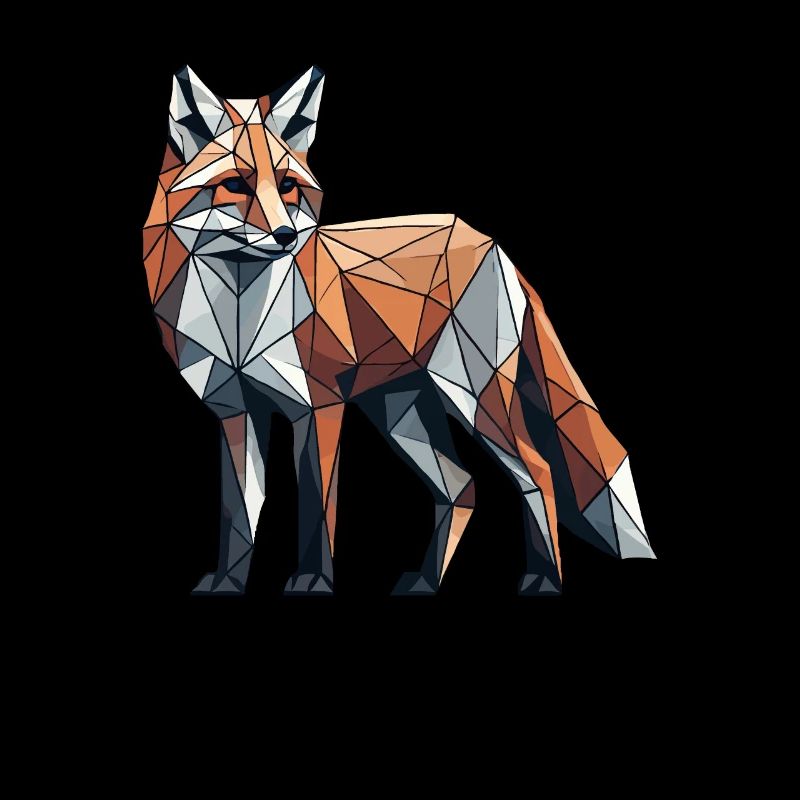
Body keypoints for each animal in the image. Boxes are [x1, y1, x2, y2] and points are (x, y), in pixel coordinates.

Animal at [143, 65, 655, 596]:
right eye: (235, 186)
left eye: (286, 186)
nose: (286, 235)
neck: (240, 321)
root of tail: (489, 240)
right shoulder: (236, 413)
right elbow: (241, 516)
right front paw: (228, 582)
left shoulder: (319, 406)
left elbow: (317, 506)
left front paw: (313, 580)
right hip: (403, 415)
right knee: (462, 488)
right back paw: (427, 582)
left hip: (477, 403)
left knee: (540, 472)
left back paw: (544, 580)